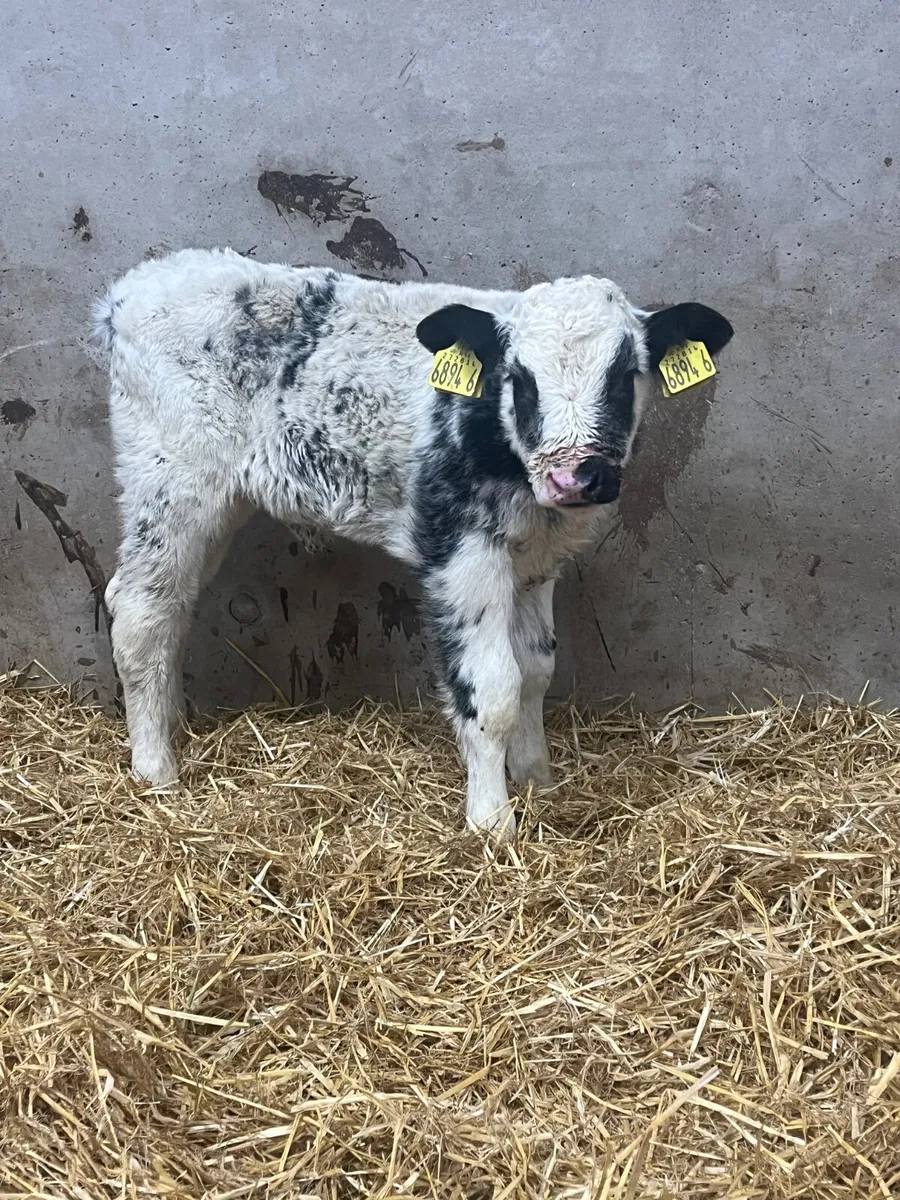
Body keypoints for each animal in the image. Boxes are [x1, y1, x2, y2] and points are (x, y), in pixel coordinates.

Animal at [93, 248, 732, 838]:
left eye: (624, 378)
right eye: (520, 381)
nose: (574, 477)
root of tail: (135, 287)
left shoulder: (536, 561)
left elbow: (535, 670)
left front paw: (538, 782)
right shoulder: (461, 553)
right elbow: (492, 689)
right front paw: (492, 820)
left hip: (213, 502)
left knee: (166, 607)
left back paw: (171, 726)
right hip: (172, 482)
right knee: (141, 612)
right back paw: (157, 772)